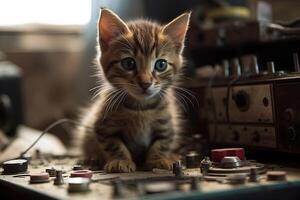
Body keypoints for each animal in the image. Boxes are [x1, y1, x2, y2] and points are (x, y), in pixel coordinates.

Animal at [76, 8, 191, 173]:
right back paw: (92, 158)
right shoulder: (103, 127)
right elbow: (114, 145)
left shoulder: (167, 126)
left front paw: (158, 160)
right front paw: (120, 160)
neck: (141, 109)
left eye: (161, 65)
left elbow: (161, 144)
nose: (145, 83)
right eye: (129, 63)